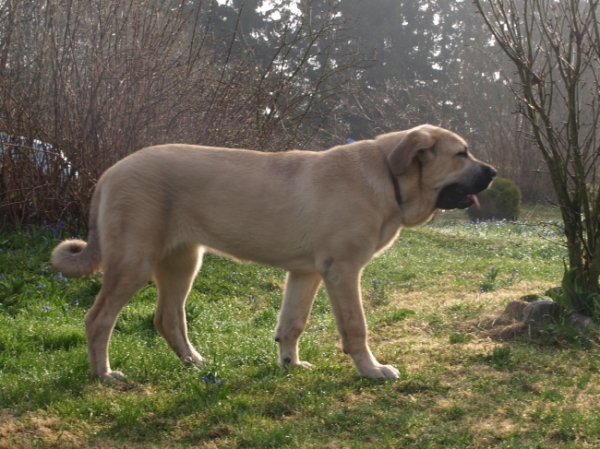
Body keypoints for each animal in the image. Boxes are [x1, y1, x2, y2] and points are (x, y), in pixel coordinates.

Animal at [51, 125, 494, 378]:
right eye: (461, 154)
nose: (493, 172)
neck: (388, 176)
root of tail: (109, 173)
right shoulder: (342, 270)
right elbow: (355, 327)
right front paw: (371, 370)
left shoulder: (307, 273)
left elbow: (292, 323)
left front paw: (290, 365)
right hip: (134, 262)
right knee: (99, 319)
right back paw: (104, 375)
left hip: (183, 262)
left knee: (167, 319)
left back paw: (195, 363)